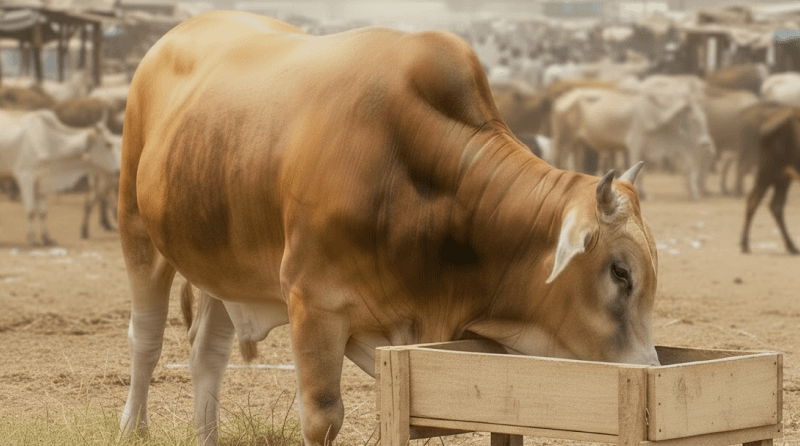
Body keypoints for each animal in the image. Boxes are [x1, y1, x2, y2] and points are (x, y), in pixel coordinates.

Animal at [0, 109, 119, 245]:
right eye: (108, 144)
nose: (119, 170)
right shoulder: (26, 177)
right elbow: (30, 211)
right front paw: (32, 238)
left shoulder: (41, 182)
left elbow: (43, 213)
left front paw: (47, 238)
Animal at [118, 12, 660, 446]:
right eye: (620, 273)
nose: (652, 371)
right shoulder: (314, 305)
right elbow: (322, 418)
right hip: (137, 230)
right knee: (145, 339)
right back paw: (130, 426)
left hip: (221, 265)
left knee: (207, 352)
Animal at [551, 84, 715, 200]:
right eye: (695, 120)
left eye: (704, 118)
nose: (705, 142)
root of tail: (562, 98)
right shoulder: (635, 144)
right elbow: (640, 173)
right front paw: (645, 195)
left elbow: (687, 169)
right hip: (564, 140)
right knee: (559, 160)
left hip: (577, 143)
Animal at [739, 103, 800, 254]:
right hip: (767, 173)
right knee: (753, 201)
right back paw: (745, 244)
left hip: (782, 178)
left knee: (775, 206)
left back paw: (791, 246)